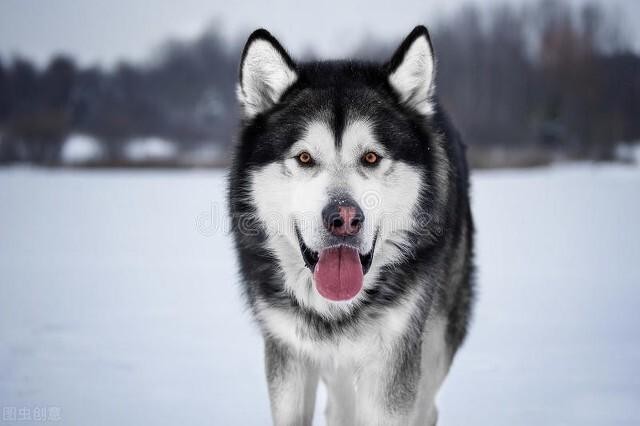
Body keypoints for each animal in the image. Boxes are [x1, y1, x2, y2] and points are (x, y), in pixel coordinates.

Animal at [228, 25, 472, 426]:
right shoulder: (288, 351)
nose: (343, 218)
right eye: (305, 158)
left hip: (434, 339)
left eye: (371, 157)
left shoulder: (393, 357)